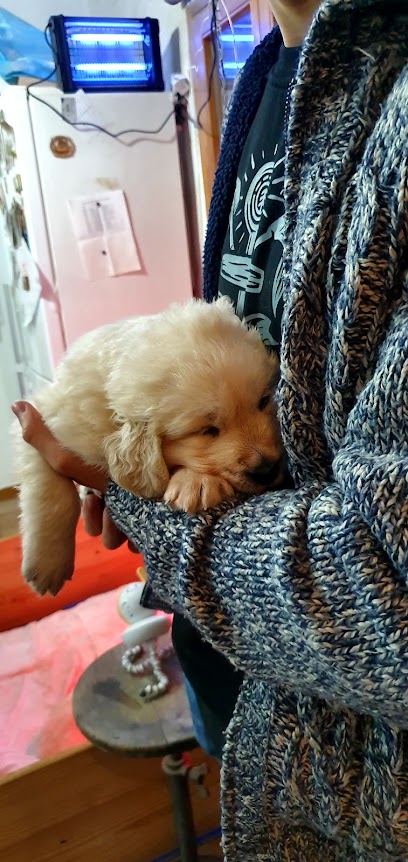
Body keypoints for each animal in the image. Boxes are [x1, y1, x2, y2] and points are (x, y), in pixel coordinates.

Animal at [15, 300, 284, 596]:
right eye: (207, 430)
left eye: (263, 401)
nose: (267, 469)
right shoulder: (50, 417)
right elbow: (53, 495)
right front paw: (47, 566)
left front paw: (196, 482)